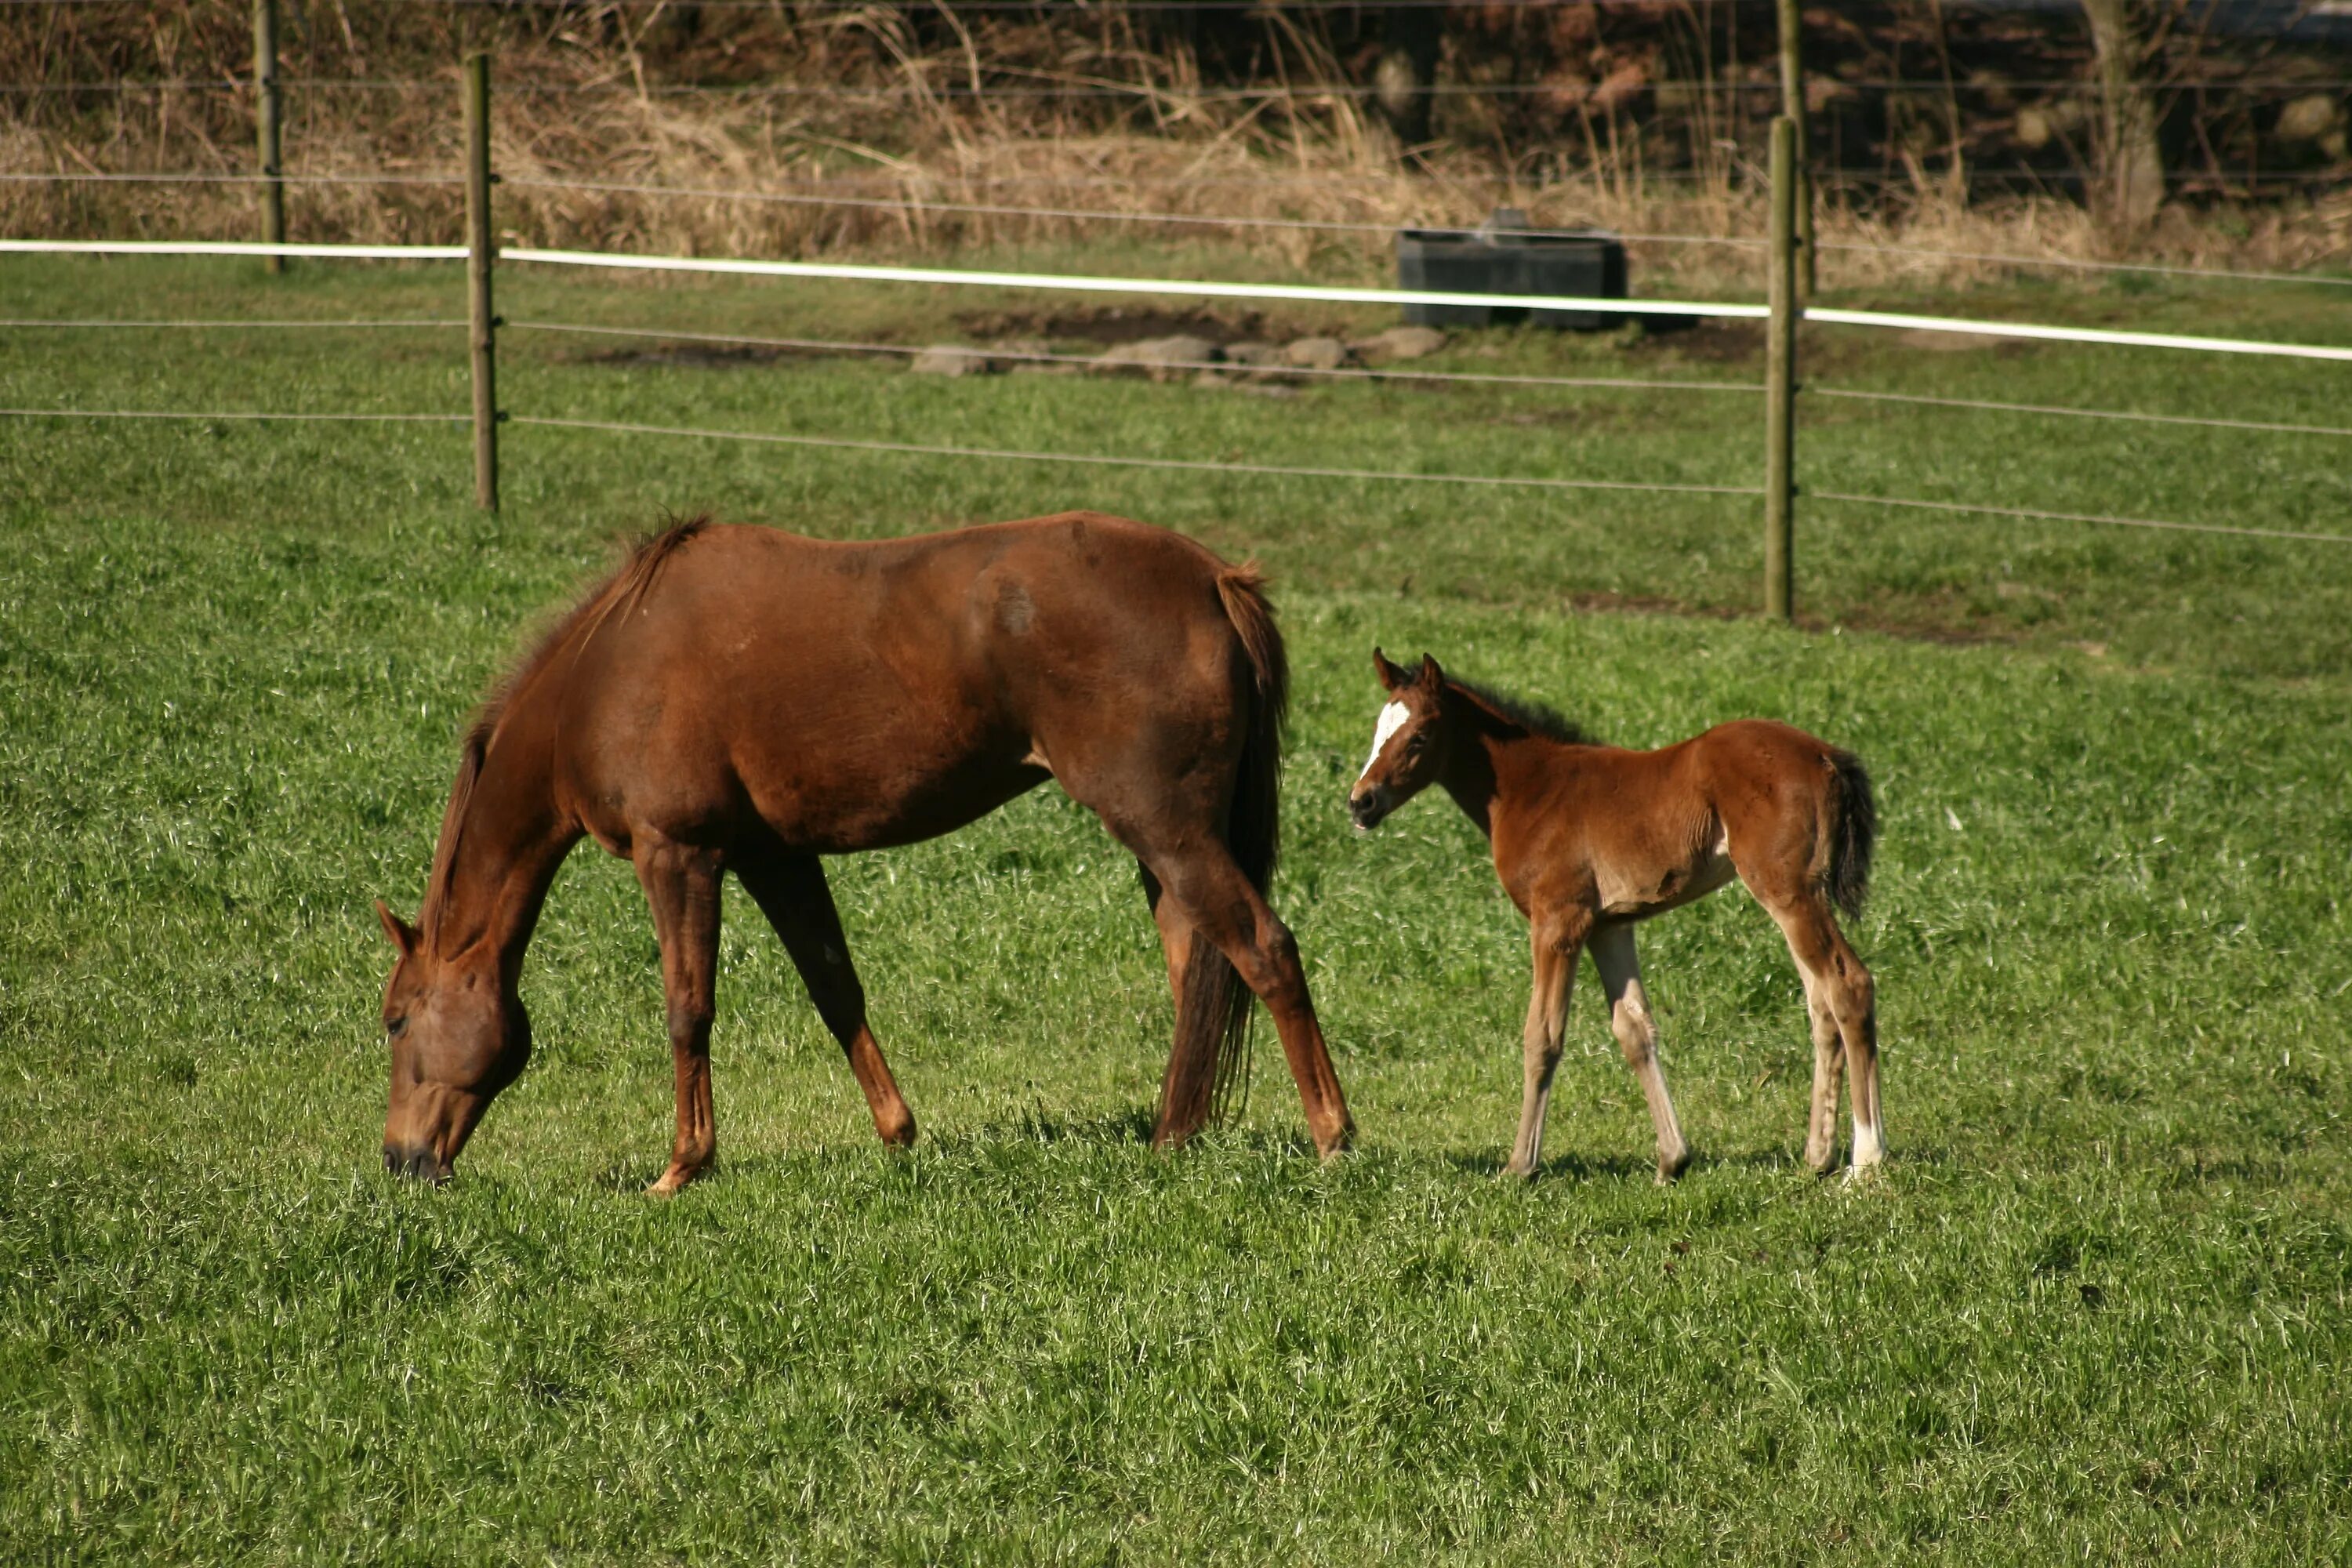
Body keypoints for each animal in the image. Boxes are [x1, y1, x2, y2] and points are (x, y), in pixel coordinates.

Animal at [374, 514, 1355, 1189]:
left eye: (395, 1020)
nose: (400, 1157)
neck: (606, 667)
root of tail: (1212, 580)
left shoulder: (679, 853)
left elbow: (688, 1008)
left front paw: (683, 1164)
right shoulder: (774, 857)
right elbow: (835, 987)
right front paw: (897, 1132)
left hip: (1168, 831)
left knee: (1264, 949)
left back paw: (1334, 1137)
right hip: (1165, 847)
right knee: (1199, 978)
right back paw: (1172, 1137)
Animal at [1355, 648, 1882, 1175]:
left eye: (1419, 736)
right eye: (1378, 729)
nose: (1361, 802)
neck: (1532, 789)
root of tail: (1826, 756)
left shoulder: (1558, 922)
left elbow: (1541, 1037)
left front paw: (1519, 1166)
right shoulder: (1609, 927)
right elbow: (1634, 1030)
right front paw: (1673, 1159)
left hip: (1788, 893)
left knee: (1848, 985)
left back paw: (1867, 1161)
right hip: (1798, 895)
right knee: (1820, 1005)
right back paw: (1818, 1156)